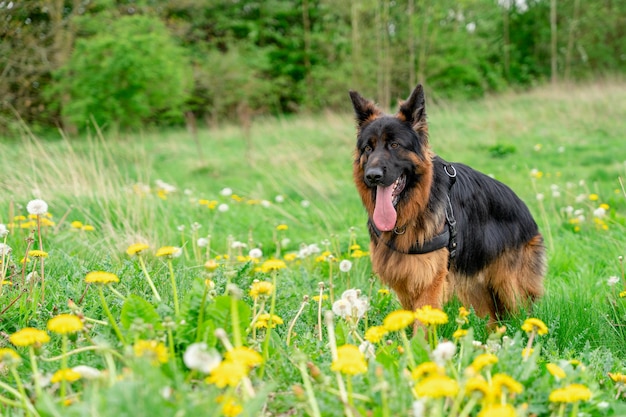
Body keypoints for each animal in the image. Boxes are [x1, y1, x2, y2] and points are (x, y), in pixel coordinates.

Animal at [348, 83, 544, 320]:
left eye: (394, 144)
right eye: (368, 148)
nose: (373, 176)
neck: (412, 212)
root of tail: (526, 211)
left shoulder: (429, 282)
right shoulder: (406, 283)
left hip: (512, 290)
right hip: (475, 291)